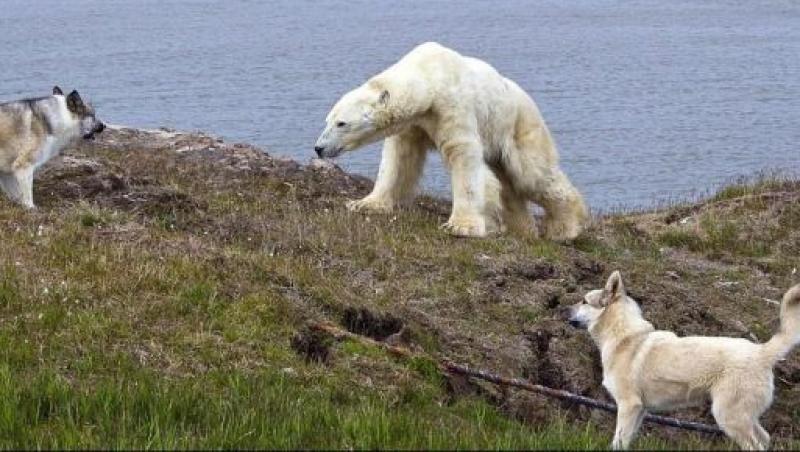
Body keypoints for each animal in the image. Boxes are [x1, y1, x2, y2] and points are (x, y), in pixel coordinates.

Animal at [312, 42, 588, 240]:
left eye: (341, 123)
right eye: (328, 120)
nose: (319, 148)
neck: (429, 78)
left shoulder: (451, 107)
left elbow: (463, 156)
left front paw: (461, 226)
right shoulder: (414, 125)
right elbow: (399, 159)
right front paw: (365, 204)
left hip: (517, 125)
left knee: (532, 174)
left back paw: (564, 228)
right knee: (508, 185)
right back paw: (522, 229)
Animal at [564, 270, 796, 450]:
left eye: (584, 301)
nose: (563, 307)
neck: (625, 337)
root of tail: (761, 352)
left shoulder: (628, 406)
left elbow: (618, 442)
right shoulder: (639, 411)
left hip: (729, 417)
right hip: (744, 418)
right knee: (765, 439)